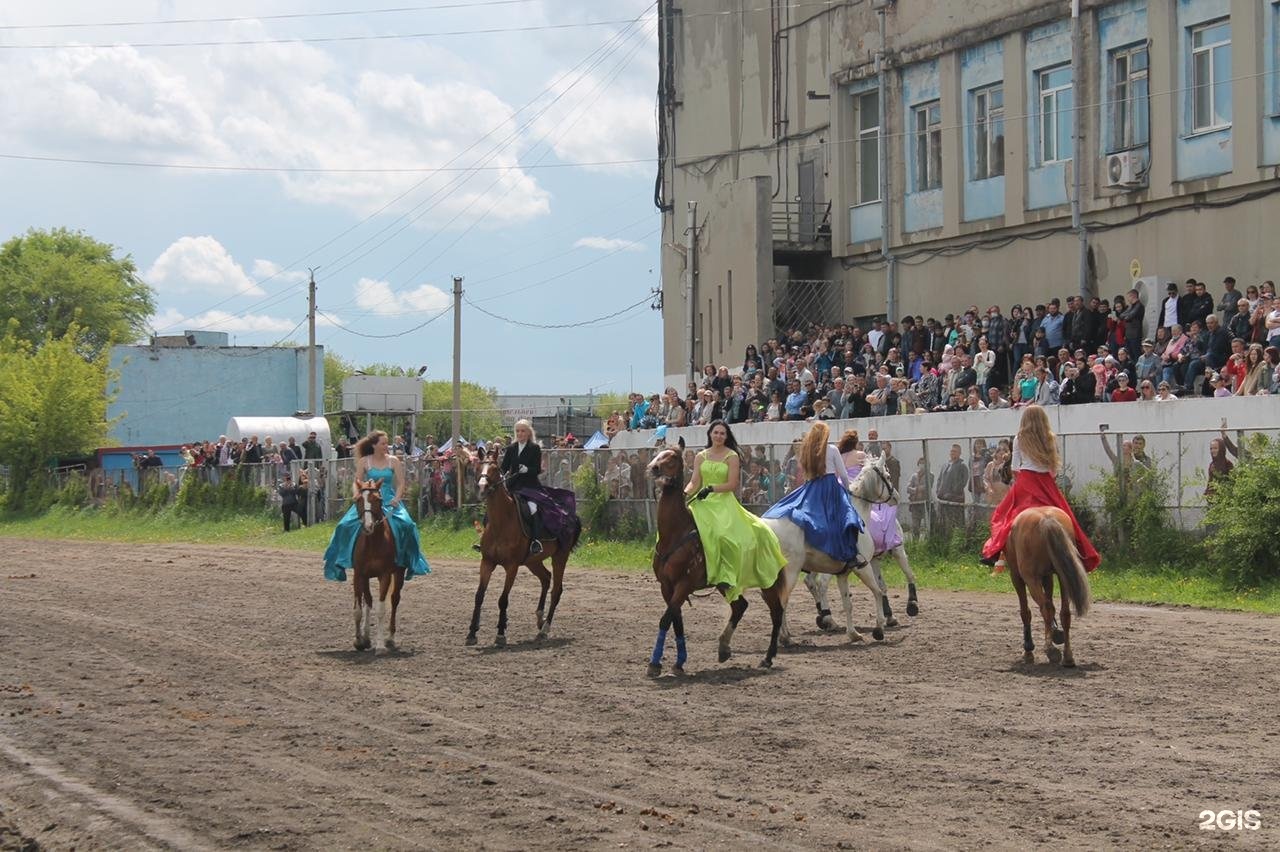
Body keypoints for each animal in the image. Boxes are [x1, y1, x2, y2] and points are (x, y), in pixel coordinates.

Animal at [350, 478, 404, 649]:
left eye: (378, 500)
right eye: (358, 500)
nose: (367, 526)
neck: (373, 543)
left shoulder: (384, 575)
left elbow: (381, 610)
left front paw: (380, 645)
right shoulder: (359, 574)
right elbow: (358, 610)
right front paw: (359, 640)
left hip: (399, 573)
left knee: (394, 600)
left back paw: (390, 638)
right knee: (368, 599)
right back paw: (366, 636)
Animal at [468, 457, 573, 644]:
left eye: (494, 469)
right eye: (479, 467)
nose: (482, 488)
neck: (501, 523)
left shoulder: (512, 566)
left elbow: (503, 600)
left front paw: (501, 633)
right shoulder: (487, 562)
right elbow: (479, 596)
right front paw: (472, 633)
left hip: (560, 557)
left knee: (556, 591)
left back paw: (544, 629)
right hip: (533, 561)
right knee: (546, 578)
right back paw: (540, 618)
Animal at [645, 440, 783, 675]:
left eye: (673, 458)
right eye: (659, 453)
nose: (653, 468)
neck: (676, 534)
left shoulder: (684, 584)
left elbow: (665, 620)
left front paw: (655, 664)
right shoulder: (666, 586)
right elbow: (676, 621)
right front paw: (679, 663)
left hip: (768, 582)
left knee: (777, 613)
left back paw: (767, 658)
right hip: (724, 584)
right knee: (740, 607)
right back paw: (724, 649)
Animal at [808, 450, 921, 624]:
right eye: (888, 476)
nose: (896, 496)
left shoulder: (872, 559)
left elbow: (881, 585)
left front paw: (888, 614)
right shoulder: (897, 549)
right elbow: (909, 574)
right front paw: (912, 605)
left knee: (811, 582)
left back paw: (823, 615)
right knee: (820, 583)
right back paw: (827, 618)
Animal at [1003, 504, 1095, 665]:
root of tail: (1046, 519)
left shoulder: (1016, 576)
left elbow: (1025, 612)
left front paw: (1028, 650)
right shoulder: (1047, 575)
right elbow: (1051, 600)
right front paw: (1055, 631)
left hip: (1030, 578)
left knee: (1045, 608)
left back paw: (1050, 650)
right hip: (1063, 576)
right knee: (1064, 613)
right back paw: (1068, 656)